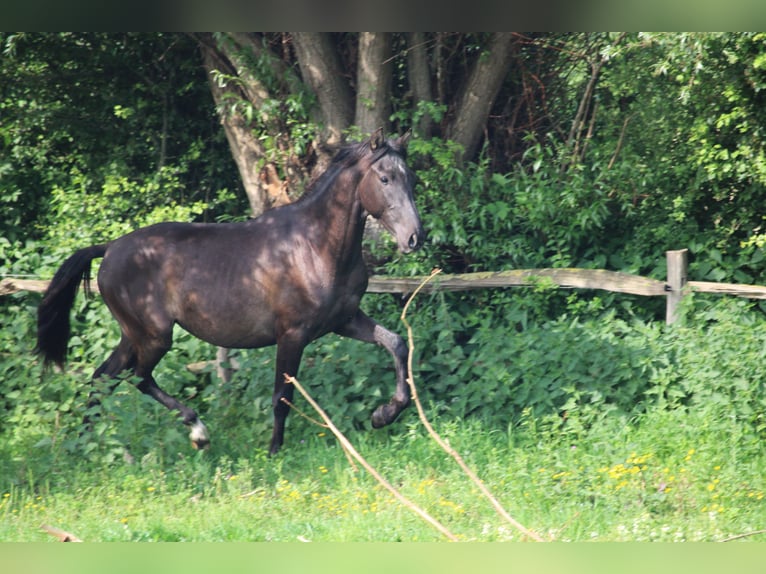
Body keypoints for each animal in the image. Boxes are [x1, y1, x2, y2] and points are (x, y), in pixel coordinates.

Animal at [36, 129, 425, 455]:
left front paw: (384, 414)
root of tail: (110, 249)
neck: (314, 247)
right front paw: (274, 454)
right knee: (138, 377)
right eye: (385, 178)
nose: (414, 238)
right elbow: (282, 396)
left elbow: (396, 344)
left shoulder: (343, 320)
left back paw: (86, 448)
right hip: (154, 336)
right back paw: (197, 431)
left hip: (133, 335)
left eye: (411, 178)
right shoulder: (292, 334)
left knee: (103, 377)